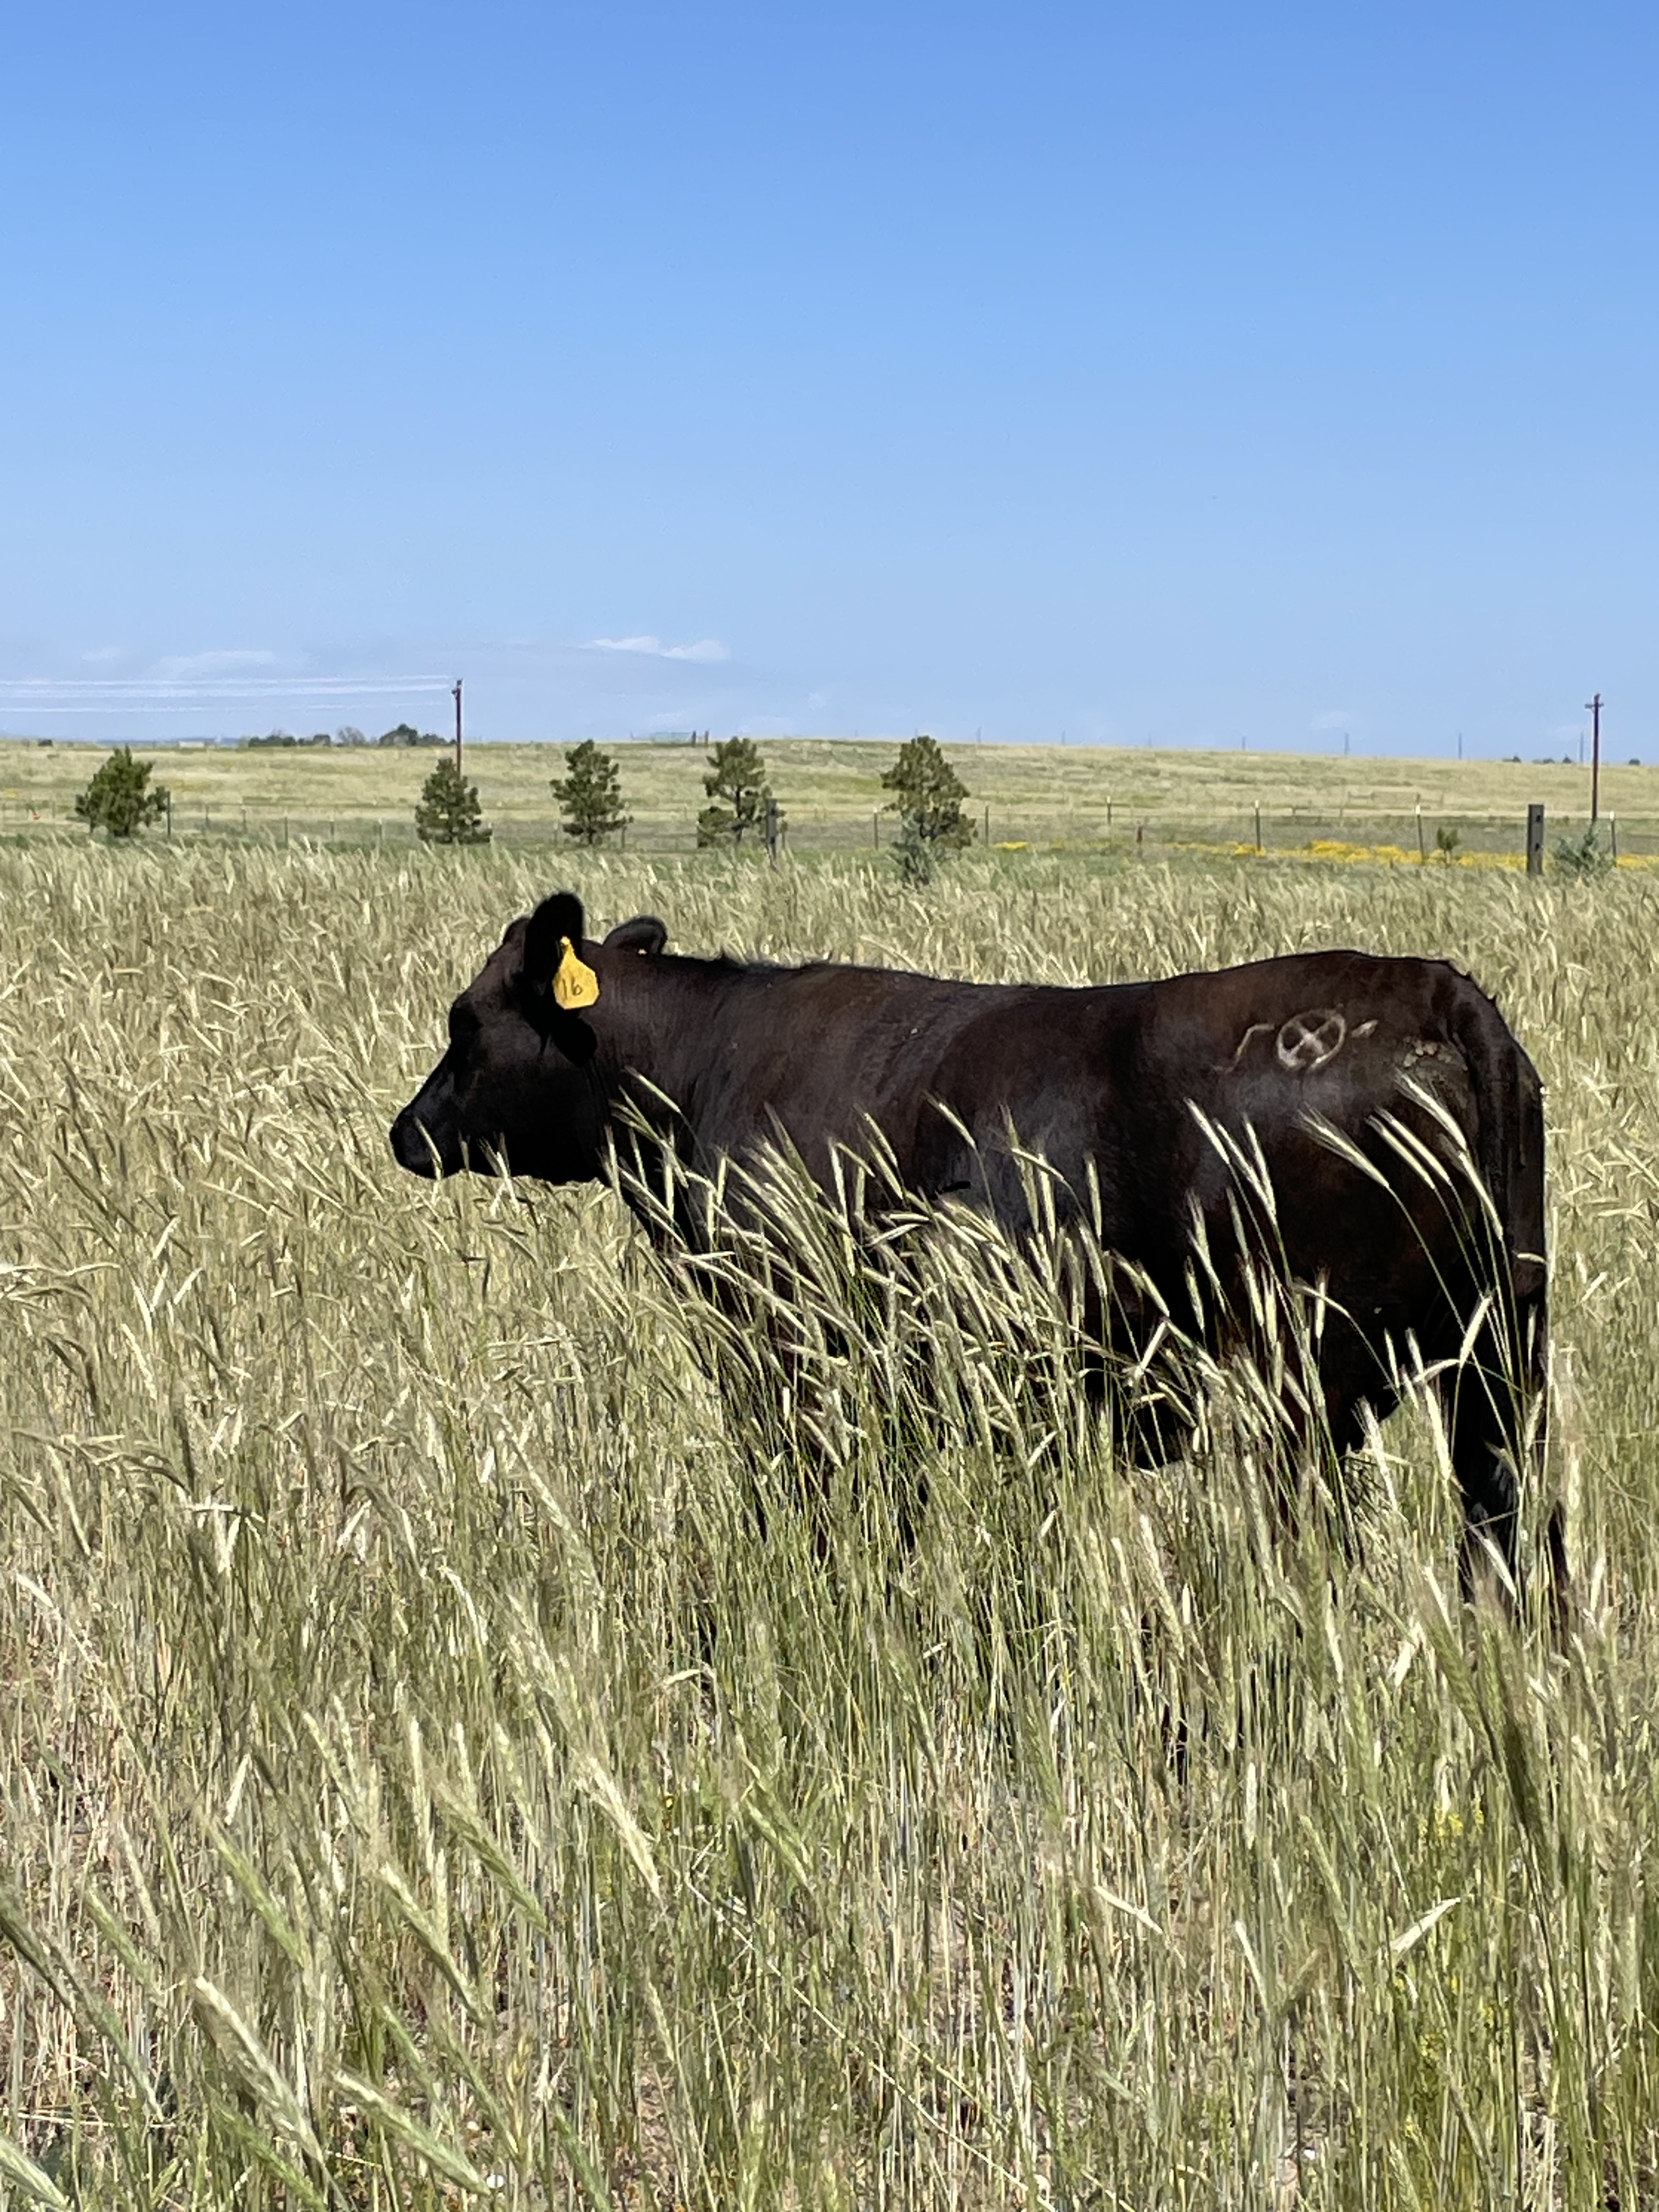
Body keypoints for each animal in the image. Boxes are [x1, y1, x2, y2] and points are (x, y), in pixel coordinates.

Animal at [390, 891, 1565, 1608]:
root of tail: (1432, 989)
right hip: (1497, 1367)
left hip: (1304, 1391)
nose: (406, 1130)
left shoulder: (784, 1359)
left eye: (464, 1020)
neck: (703, 1065)